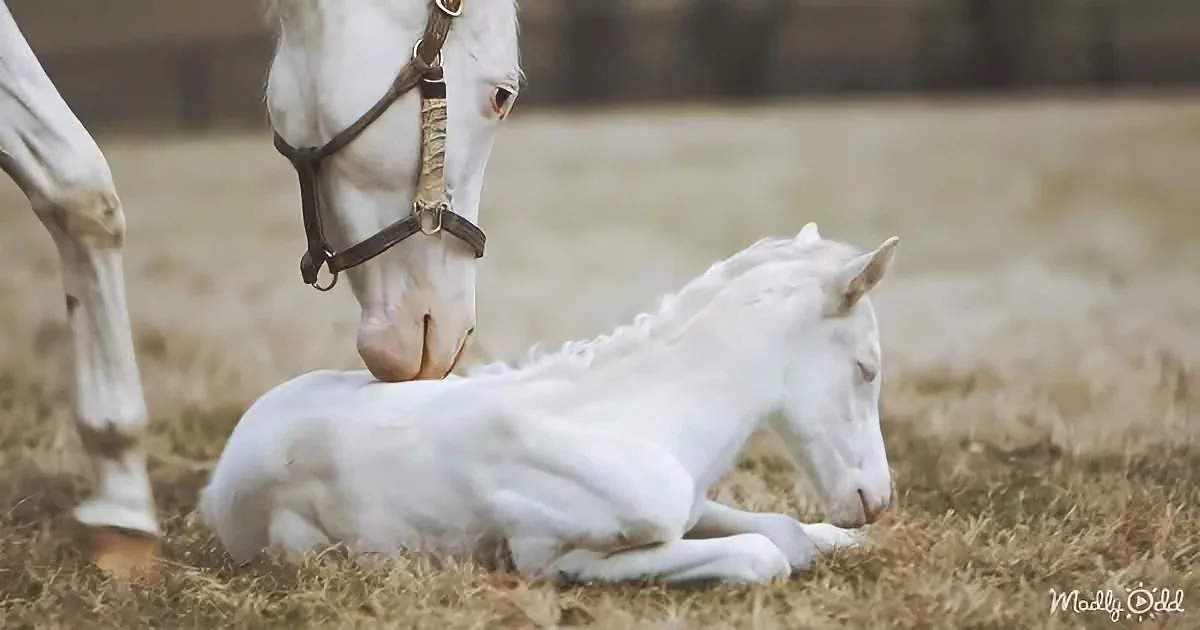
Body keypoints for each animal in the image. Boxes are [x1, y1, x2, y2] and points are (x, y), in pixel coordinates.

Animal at [199, 224, 900, 585]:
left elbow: (786, 532)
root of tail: (219, 477)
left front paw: (841, 540)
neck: (648, 415)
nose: (875, 500)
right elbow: (764, 555)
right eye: (866, 369)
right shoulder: (547, 552)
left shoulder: (692, 504)